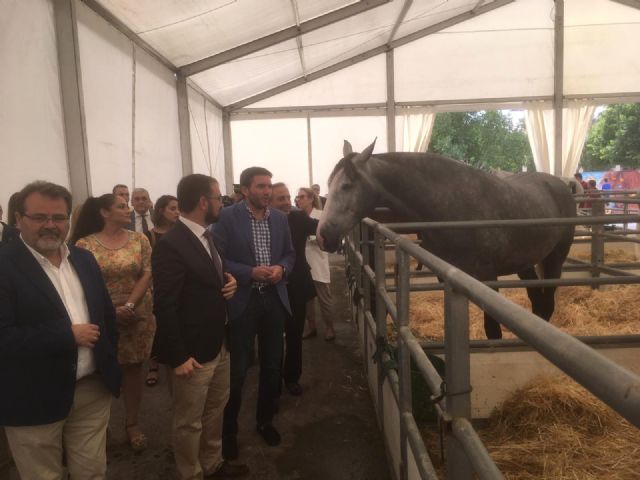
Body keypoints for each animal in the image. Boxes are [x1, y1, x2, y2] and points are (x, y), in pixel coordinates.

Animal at [318, 141, 576, 340]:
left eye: (346, 185)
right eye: (329, 184)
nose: (323, 236)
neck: (451, 204)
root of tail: (560, 185)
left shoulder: (488, 278)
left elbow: (492, 331)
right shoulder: (447, 279)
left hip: (555, 258)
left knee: (547, 303)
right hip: (525, 263)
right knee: (537, 301)